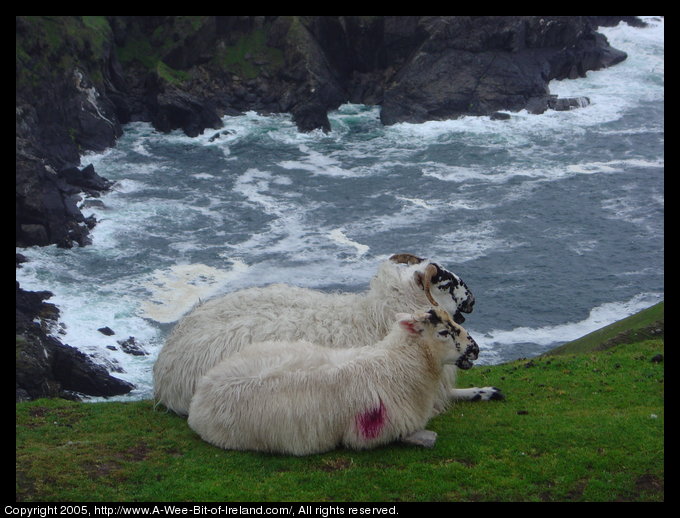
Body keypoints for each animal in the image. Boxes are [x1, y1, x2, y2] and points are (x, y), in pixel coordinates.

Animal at [187, 306, 478, 458]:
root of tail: (199, 394)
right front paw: (425, 437)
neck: (396, 364)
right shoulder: (371, 433)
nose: (475, 349)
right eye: (444, 332)